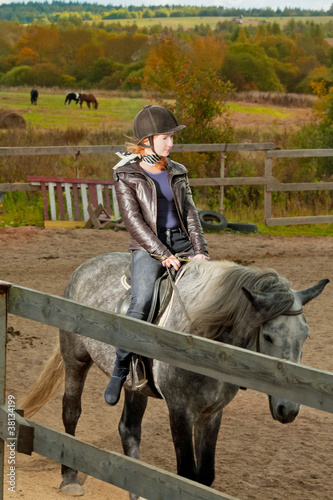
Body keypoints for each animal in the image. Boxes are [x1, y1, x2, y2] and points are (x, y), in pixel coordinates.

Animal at [20, 252, 326, 498]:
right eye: (269, 336)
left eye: (306, 336)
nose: (289, 409)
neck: (206, 340)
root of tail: (85, 267)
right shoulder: (180, 409)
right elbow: (186, 475)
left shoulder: (211, 413)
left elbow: (204, 477)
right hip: (76, 360)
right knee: (71, 413)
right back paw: (70, 479)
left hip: (135, 385)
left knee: (129, 429)